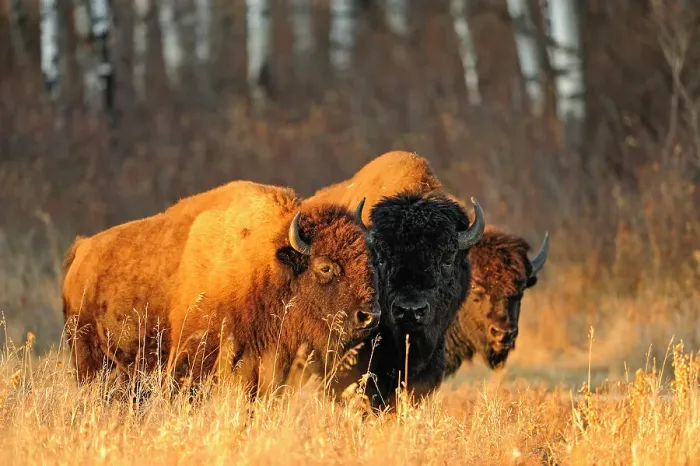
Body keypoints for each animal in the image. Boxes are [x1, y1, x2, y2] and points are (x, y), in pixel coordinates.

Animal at [62, 180, 380, 398]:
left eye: (370, 260)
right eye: (325, 267)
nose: (368, 316)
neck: (265, 264)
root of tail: (81, 251)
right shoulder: (193, 358)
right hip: (88, 357)